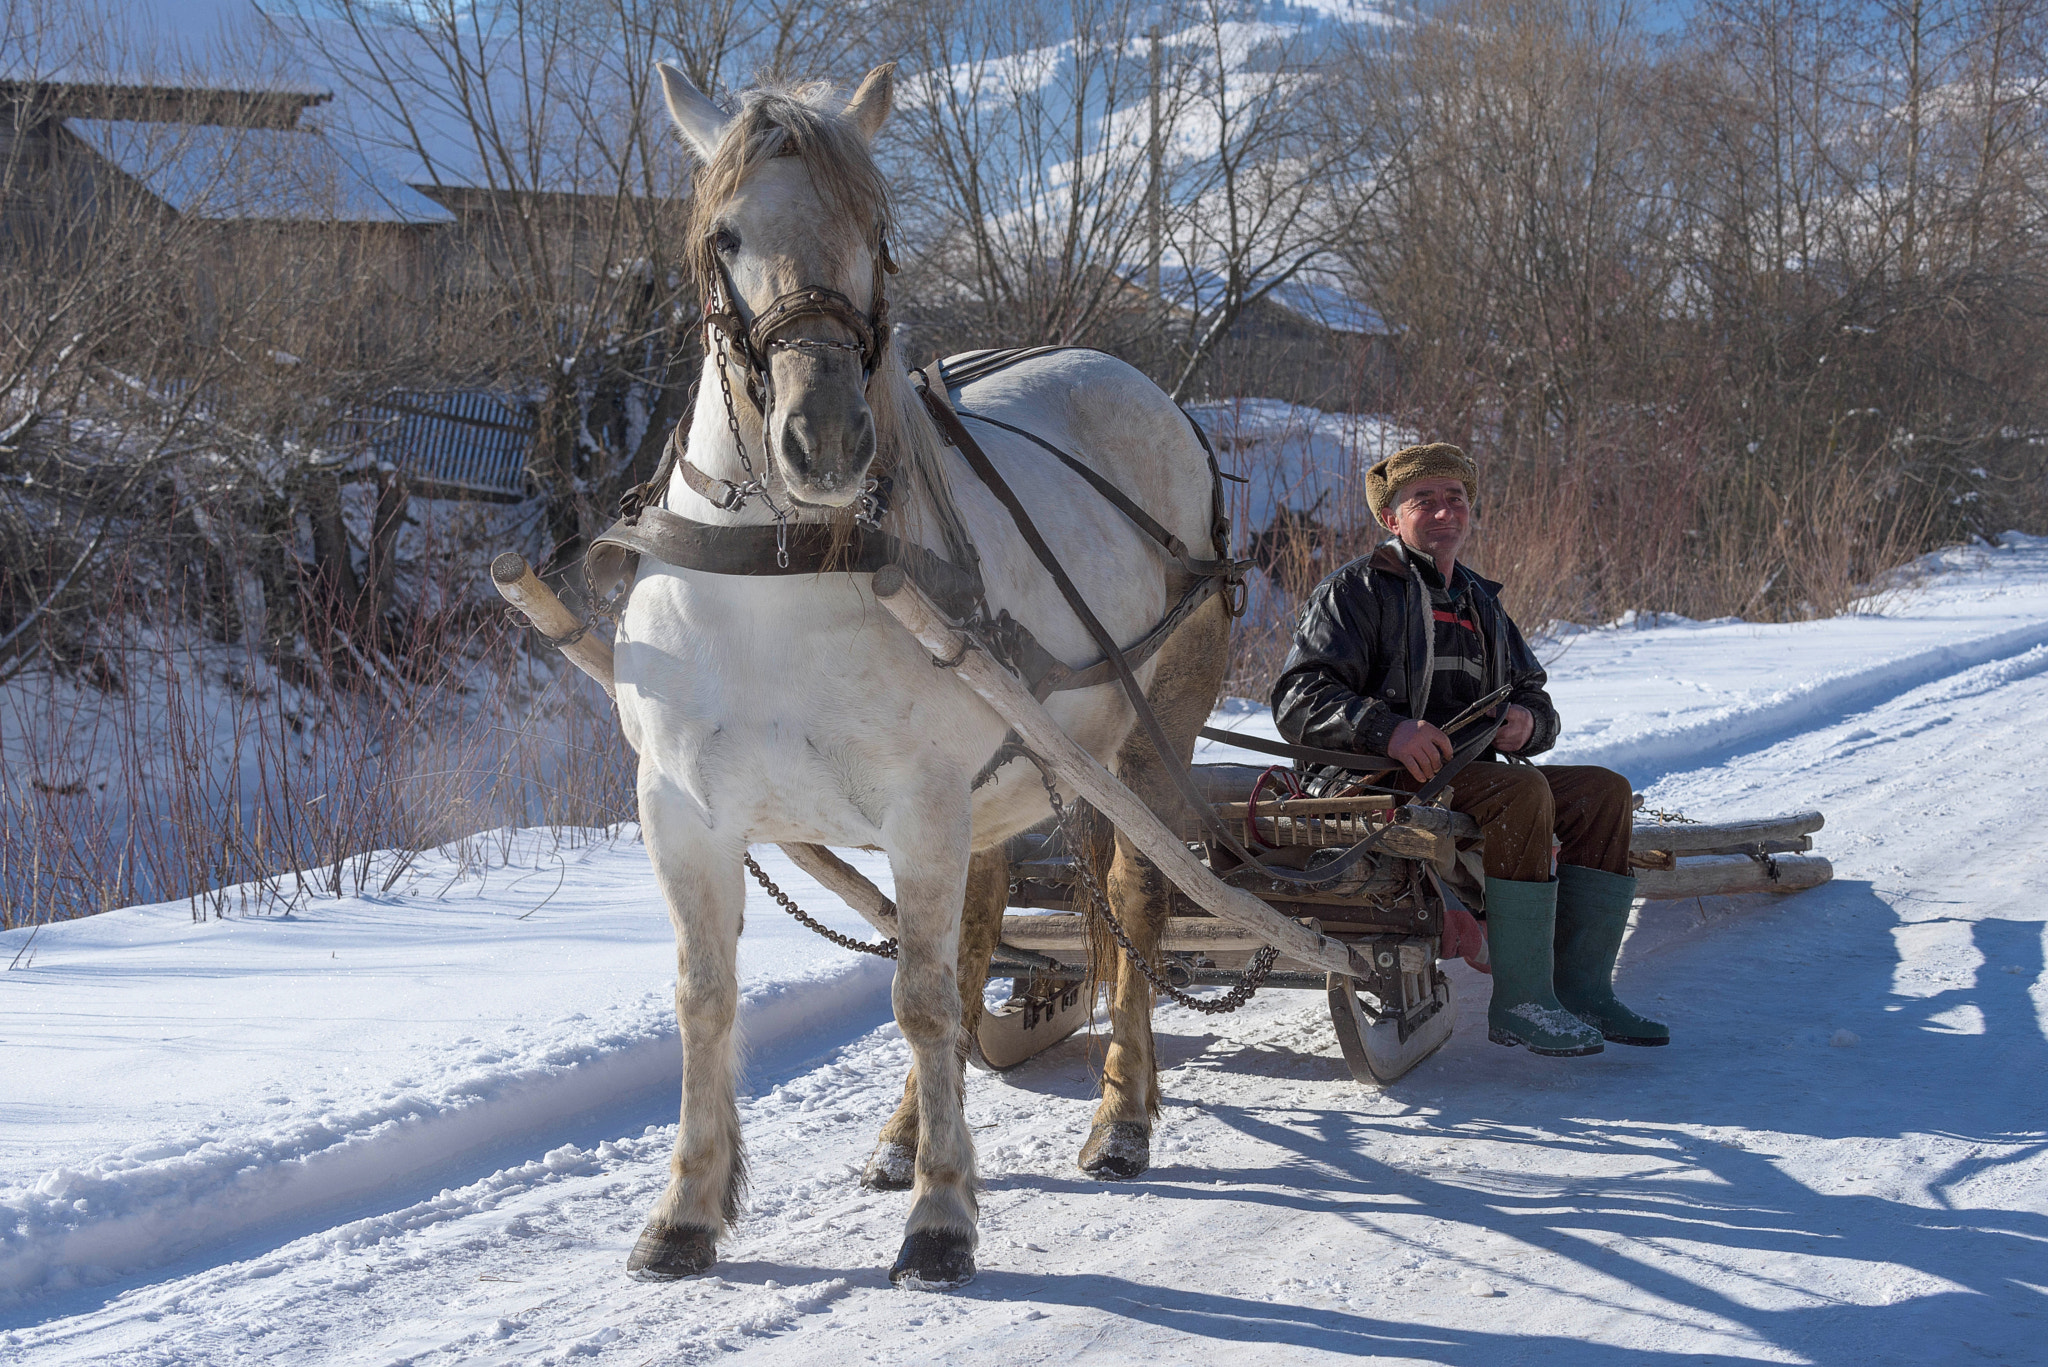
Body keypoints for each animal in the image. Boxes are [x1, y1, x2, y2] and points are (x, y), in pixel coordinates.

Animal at [612, 61, 1231, 1289]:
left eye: (877, 235)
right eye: (725, 233)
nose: (825, 440)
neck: (785, 567)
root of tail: (1145, 388)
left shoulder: (920, 805)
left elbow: (923, 998)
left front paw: (942, 1216)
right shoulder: (683, 813)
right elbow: (708, 1000)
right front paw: (687, 1209)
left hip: (1146, 741)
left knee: (1133, 904)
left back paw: (1121, 1116)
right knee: (983, 927)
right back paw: (903, 1134)